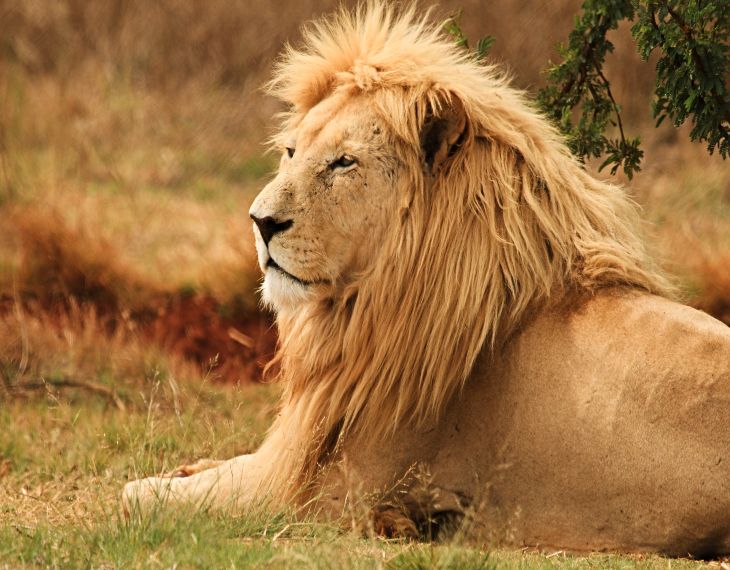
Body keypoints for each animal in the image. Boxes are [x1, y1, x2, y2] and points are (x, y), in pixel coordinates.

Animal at [123, 2, 730, 556]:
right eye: (291, 151)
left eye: (343, 163)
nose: (261, 221)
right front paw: (187, 466)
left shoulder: (321, 493)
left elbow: (140, 495)